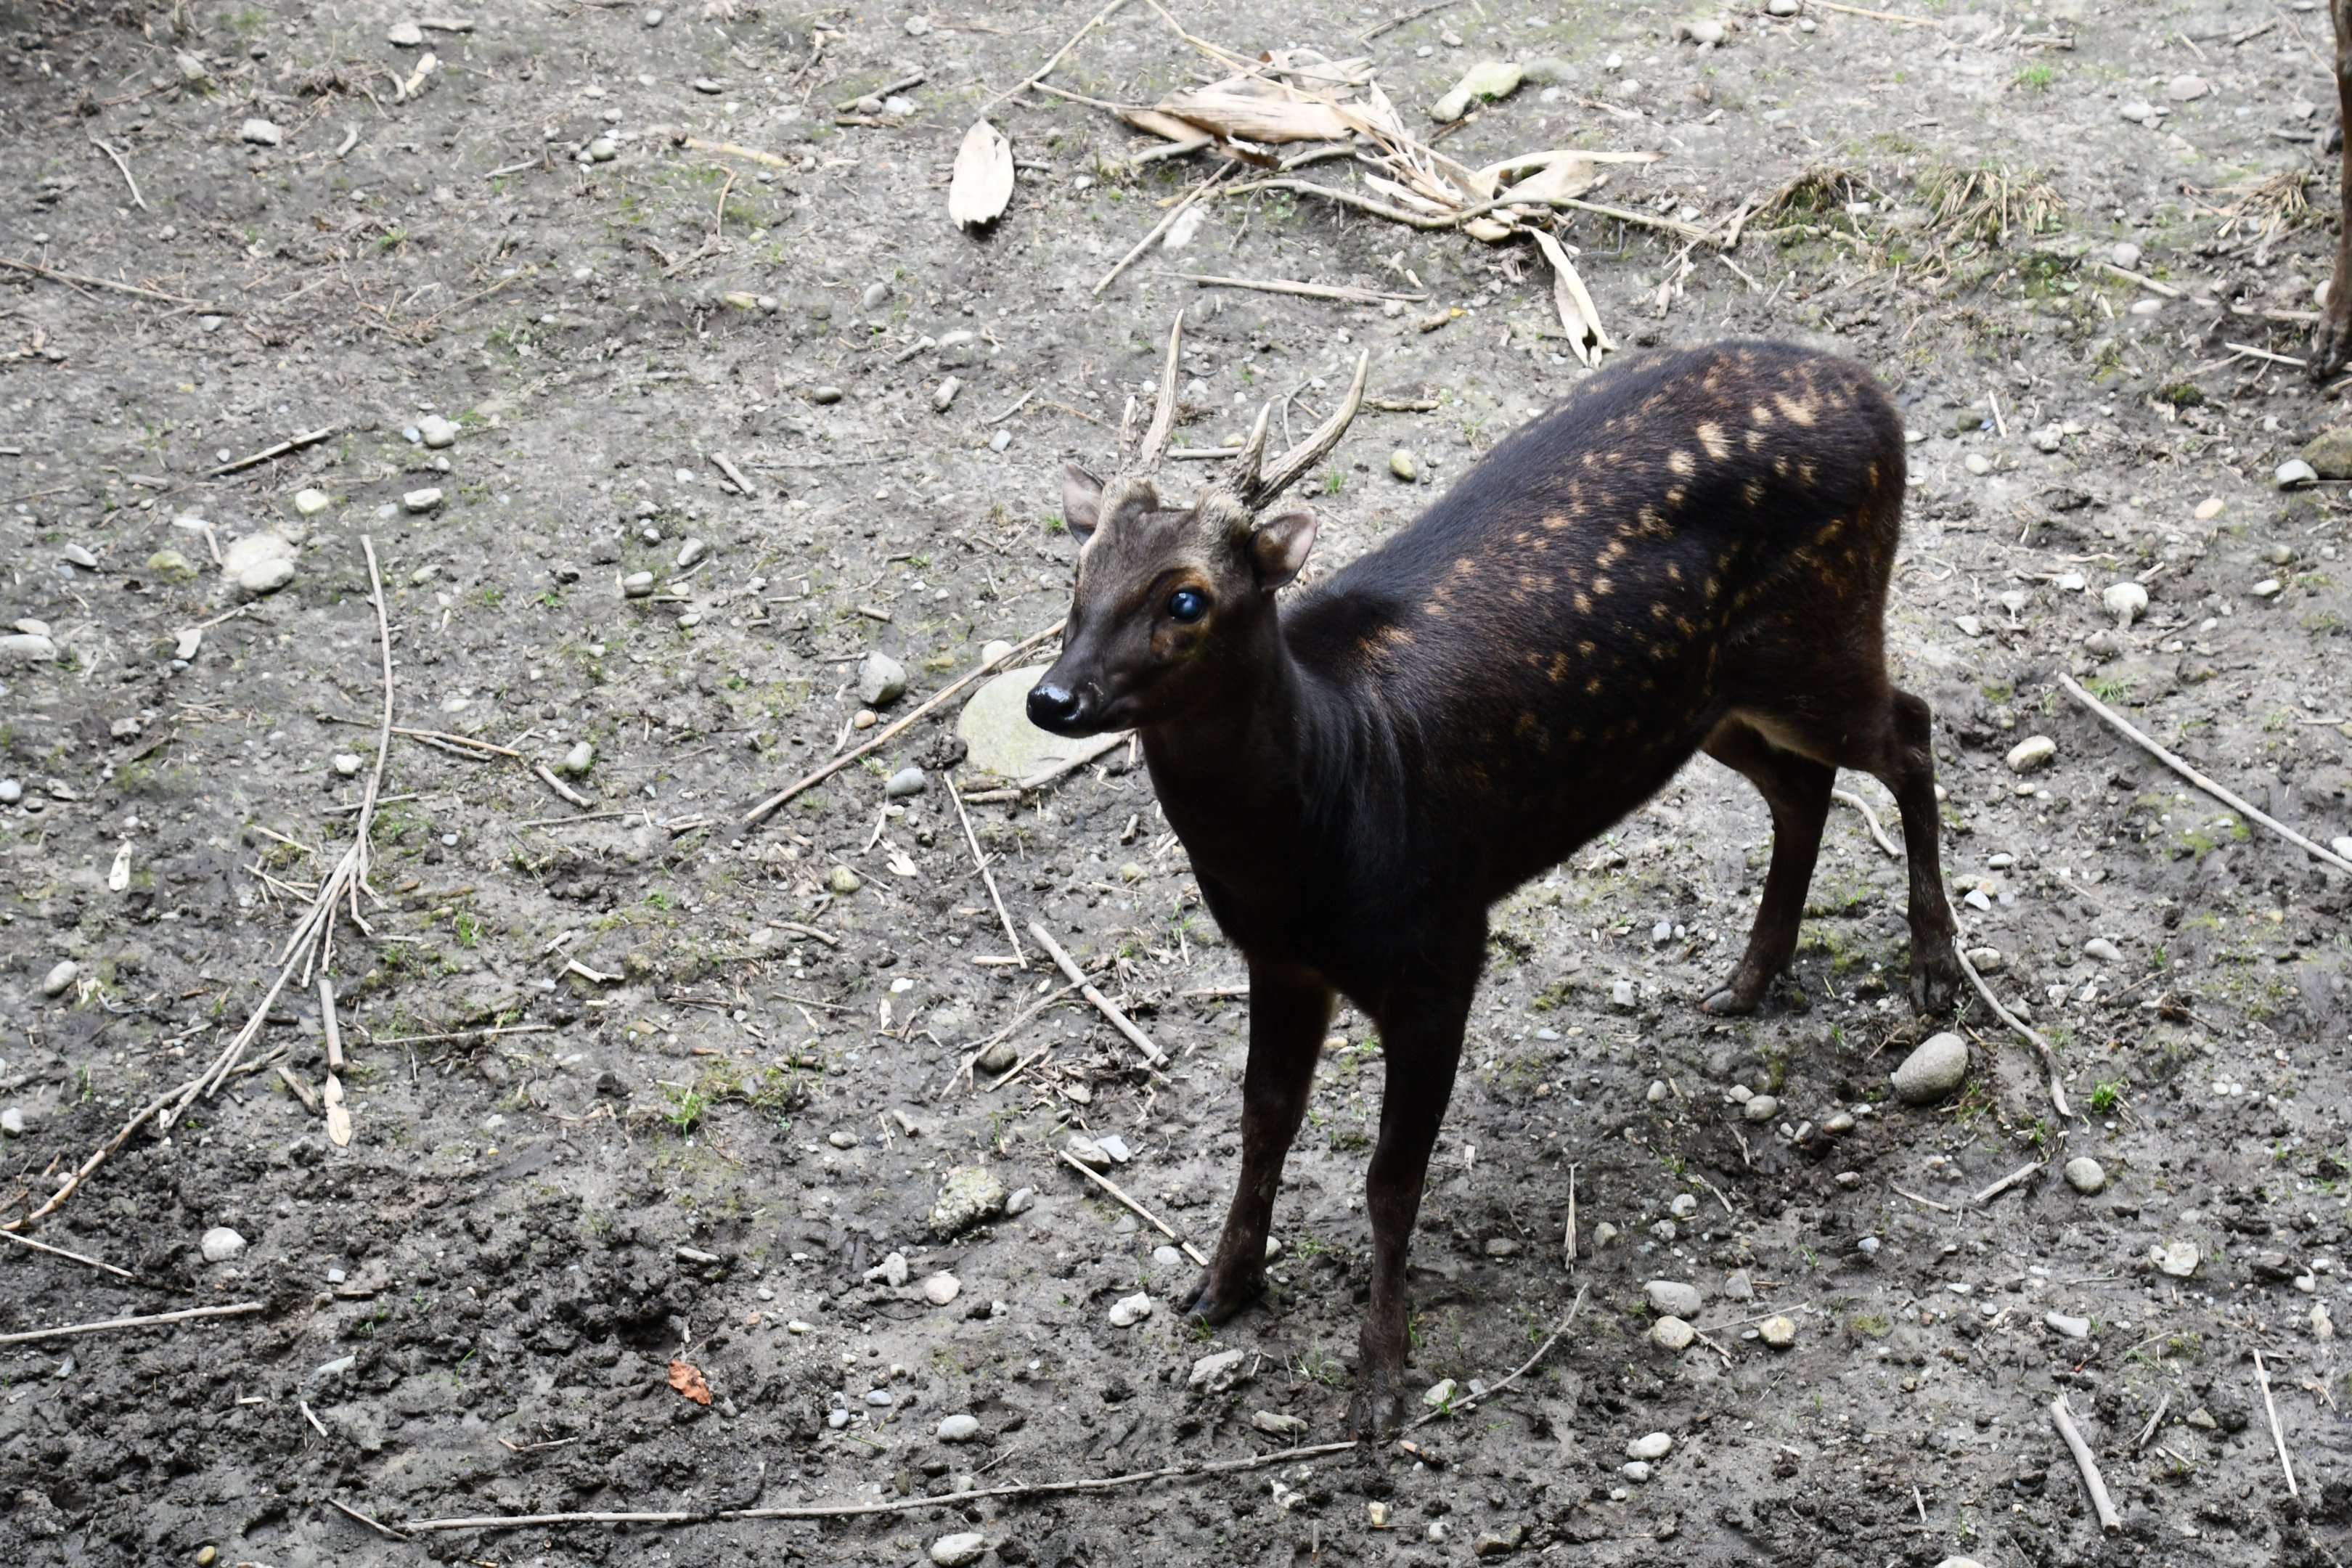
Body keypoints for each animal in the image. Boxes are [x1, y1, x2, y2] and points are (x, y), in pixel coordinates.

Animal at [1027, 314, 1962, 1435]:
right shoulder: (1278, 959)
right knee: (1805, 786)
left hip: (1824, 630)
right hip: (1712, 701)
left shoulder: (1442, 945)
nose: (1052, 698)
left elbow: (1391, 1178)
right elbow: (1263, 1121)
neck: (1331, 806)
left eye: (1185, 597)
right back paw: (1747, 979)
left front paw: (1381, 1380)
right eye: (1076, 575)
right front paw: (1223, 1284)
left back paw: (1935, 970)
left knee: (1909, 732)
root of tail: (1876, 395)